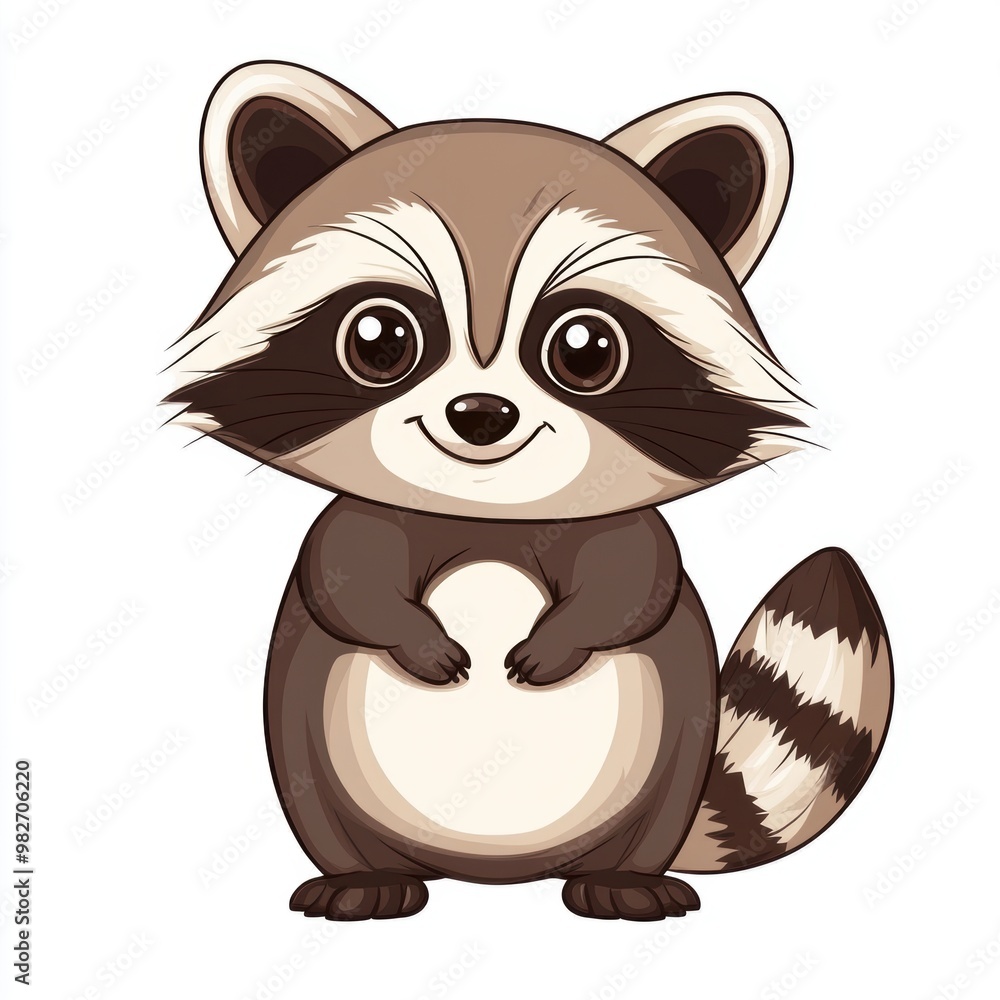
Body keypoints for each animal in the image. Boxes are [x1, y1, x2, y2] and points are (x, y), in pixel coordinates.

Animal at [165, 62, 893, 921]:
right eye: (380, 337)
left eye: (585, 348)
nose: (481, 415)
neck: (491, 515)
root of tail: (496, 871)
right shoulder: (368, 520)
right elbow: (345, 577)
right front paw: (412, 633)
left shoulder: (615, 526)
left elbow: (635, 582)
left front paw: (565, 635)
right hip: (306, 746)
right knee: (313, 794)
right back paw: (362, 877)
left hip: (675, 748)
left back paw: (624, 877)